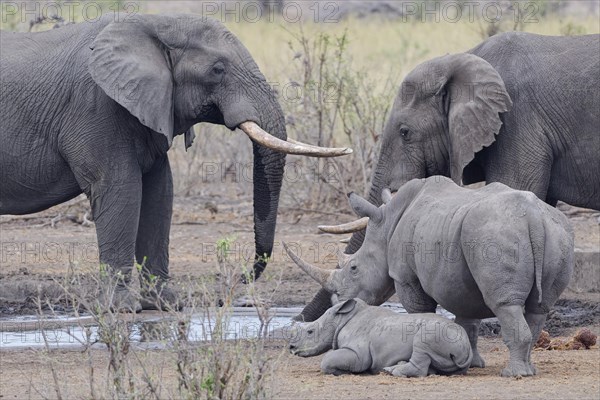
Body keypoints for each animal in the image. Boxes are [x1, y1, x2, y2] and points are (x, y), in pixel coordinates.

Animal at [0, 13, 352, 312]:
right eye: (217, 70)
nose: (242, 278)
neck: (154, 23)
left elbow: (160, 193)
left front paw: (165, 305)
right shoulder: (96, 106)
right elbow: (121, 189)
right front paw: (120, 309)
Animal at [288, 296, 474, 378]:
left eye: (310, 331)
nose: (291, 347)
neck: (341, 319)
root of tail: (467, 347)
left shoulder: (358, 353)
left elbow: (327, 360)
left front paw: (342, 372)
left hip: (437, 332)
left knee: (422, 344)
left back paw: (392, 371)